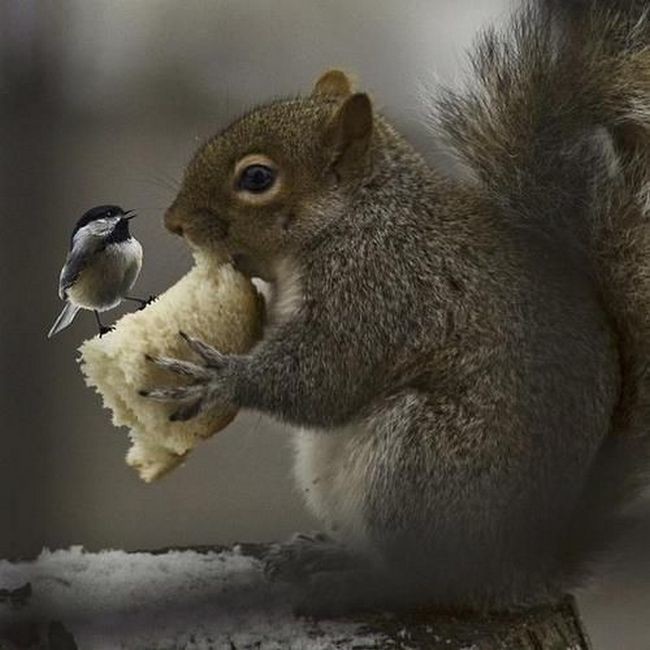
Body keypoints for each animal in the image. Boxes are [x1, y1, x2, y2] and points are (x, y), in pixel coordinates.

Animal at [144, 0, 648, 608]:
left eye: (258, 177)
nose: (173, 222)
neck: (358, 213)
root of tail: (521, 573)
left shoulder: (380, 286)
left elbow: (326, 376)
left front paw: (218, 379)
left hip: (420, 464)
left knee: (423, 581)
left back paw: (356, 584)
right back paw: (328, 555)